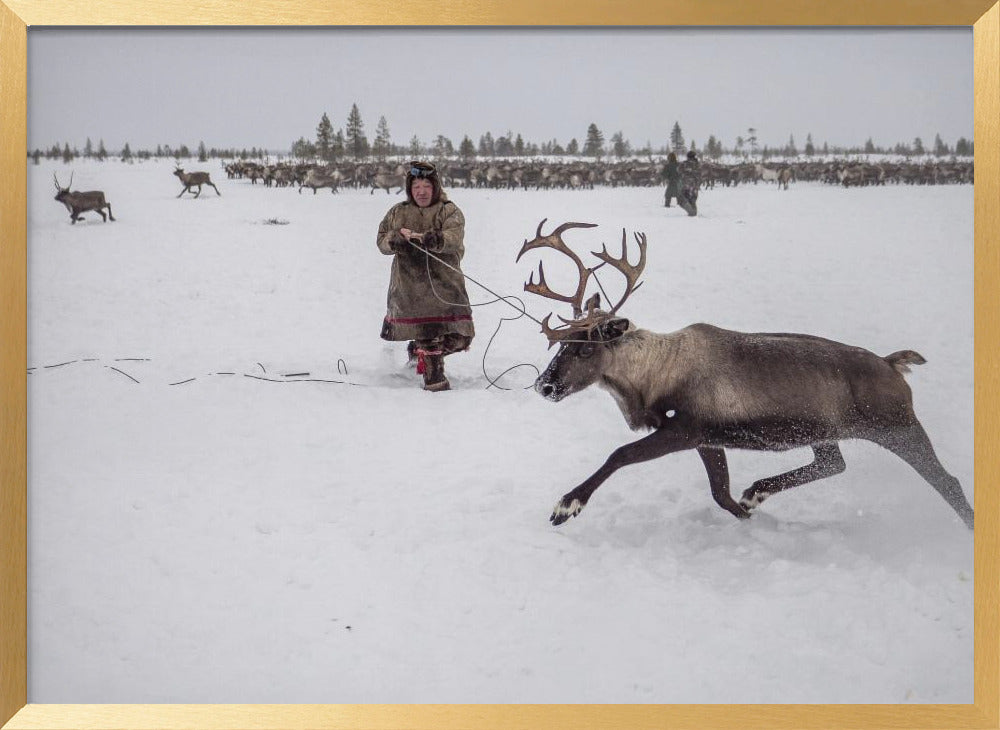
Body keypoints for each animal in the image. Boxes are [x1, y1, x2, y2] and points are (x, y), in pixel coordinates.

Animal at [516, 220, 974, 531]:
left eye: (585, 347)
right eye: (561, 343)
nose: (544, 385)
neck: (654, 376)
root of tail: (893, 362)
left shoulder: (684, 429)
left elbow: (620, 454)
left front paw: (567, 505)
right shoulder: (707, 438)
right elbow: (720, 493)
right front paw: (748, 514)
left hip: (898, 426)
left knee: (947, 481)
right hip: (825, 430)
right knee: (834, 462)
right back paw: (758, 491)